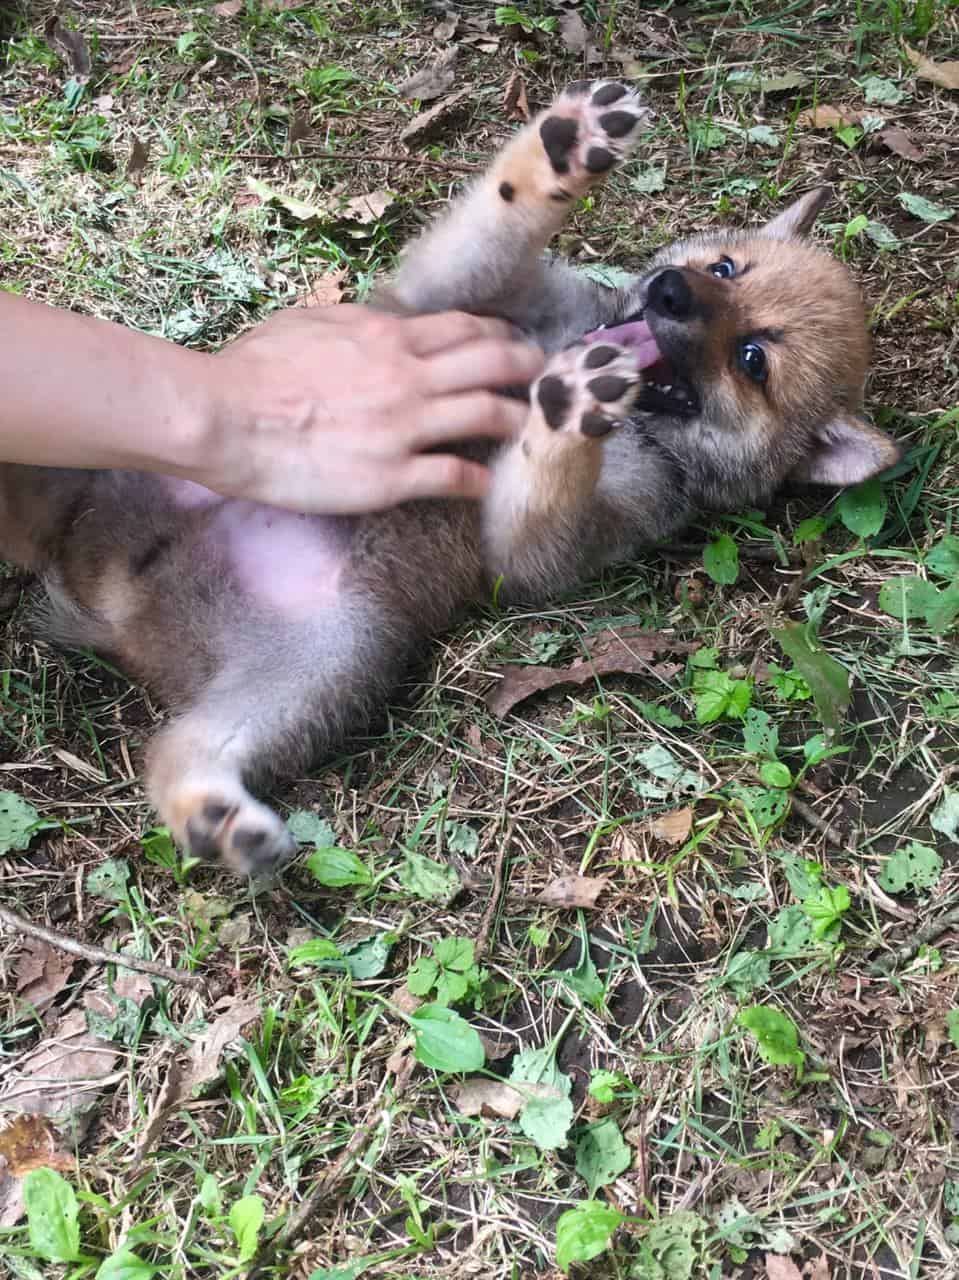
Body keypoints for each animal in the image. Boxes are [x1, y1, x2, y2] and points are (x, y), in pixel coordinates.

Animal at [0, 85, 896, 875]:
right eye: (724, 265)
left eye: (753, 360)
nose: (669, 291)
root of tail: (101, 580)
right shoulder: (450, 295)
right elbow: (496, 220)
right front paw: (557, 151)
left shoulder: (544, 545)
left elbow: (543, 483)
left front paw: (568, 409)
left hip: (329, 654)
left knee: (177, 746)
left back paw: (214, 817)